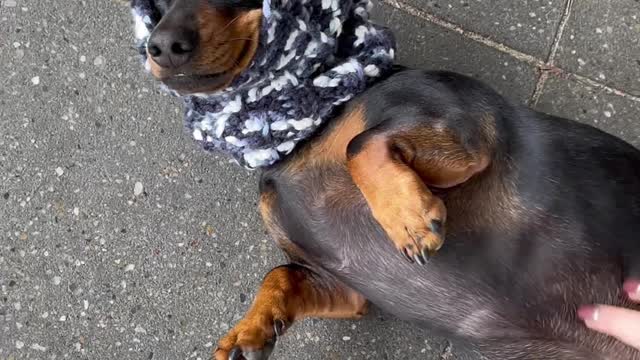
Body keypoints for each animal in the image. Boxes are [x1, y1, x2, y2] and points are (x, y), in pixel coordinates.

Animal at [129, 0, 640, 360]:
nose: (161, 45)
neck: (308, 130)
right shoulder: (342, 287)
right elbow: (280, 275)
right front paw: (249, 332)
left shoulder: (466, 131)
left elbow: (360, 145)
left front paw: (409, 219)